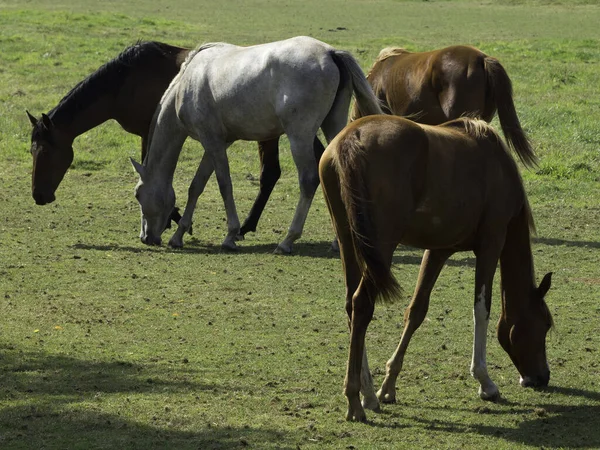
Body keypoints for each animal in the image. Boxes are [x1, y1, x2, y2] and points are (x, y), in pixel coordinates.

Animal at [26, 40, 312, 236]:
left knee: (270, 174)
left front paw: (171, 218)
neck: (126, 81)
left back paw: (246, 226)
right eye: (31, 151)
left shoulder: (147, 132)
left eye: (46, 151)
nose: (38, 196)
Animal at [132, 35, 384, 253]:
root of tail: (330, 53)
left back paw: (287, 241)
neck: (187, 82)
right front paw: (178, 235)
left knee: (309, 180)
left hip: (299, 137)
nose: (145, 238)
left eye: (137, 194)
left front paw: (230, 235)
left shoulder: (212, 142)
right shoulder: (218, 143)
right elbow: (197, 186)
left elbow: (224, 184)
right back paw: (336, 242)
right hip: (332, 126)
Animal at [318, 113, 552, 422]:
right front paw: (485, 382)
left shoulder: (439, 250)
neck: (496, 165)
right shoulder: (491, 243)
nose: (542, 377)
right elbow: (482, 309)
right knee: (361, 304)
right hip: (381, 245)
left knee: (351, 306)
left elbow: (416, 310)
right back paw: (355, 399)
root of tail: (352, 137)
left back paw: (368, 394)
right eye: (545, 324)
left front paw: (388, 386)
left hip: (349, 240)